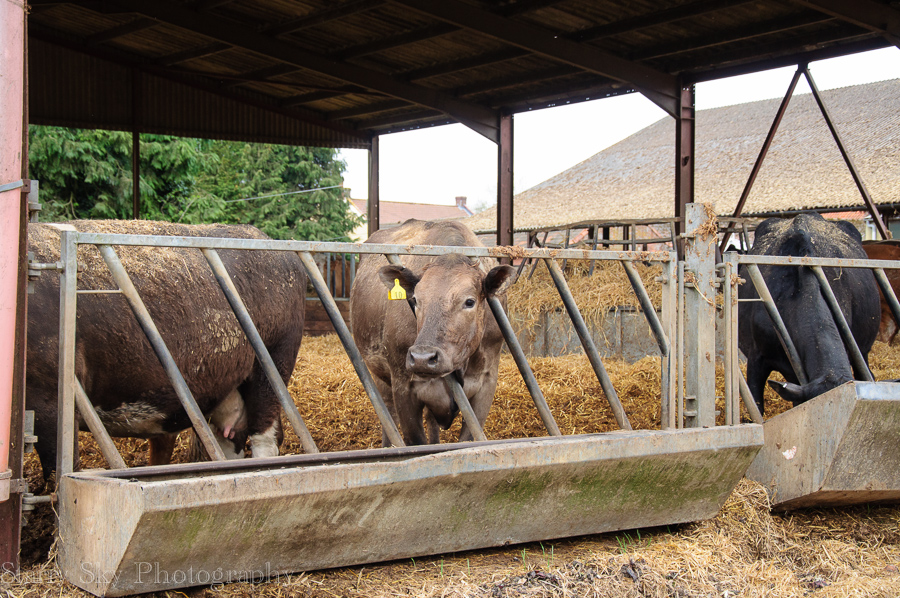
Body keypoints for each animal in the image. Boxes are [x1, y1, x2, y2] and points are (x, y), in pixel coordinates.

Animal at [27, 220, 306, 481]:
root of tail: (260, 236)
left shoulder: (49, 400)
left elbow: (57, 472)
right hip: (227, 390)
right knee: (231, 440)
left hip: (272, 367)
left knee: (264, 437)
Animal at [349, 219, 516, 446]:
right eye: (415, 299)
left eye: (469, 301)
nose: (422, 358)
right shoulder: (403, 385)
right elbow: (416, 442)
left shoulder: (486, 382)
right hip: (380, 376)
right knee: (389, 417)